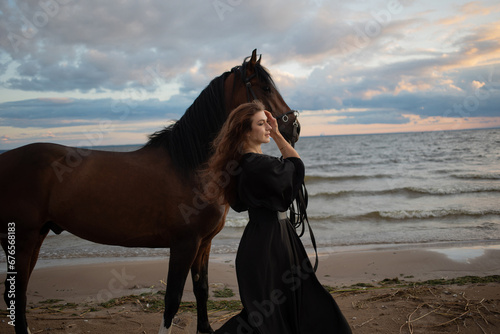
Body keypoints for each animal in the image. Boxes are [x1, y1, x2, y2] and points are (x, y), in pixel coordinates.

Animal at [0, 50, 298, 334]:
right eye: (266, 88)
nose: (294, 127)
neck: (190, 166)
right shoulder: (184, 244)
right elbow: (173, 299)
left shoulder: (204, 243)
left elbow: (201, 290)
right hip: (23, 239)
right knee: (17, 294)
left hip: (36, 236)